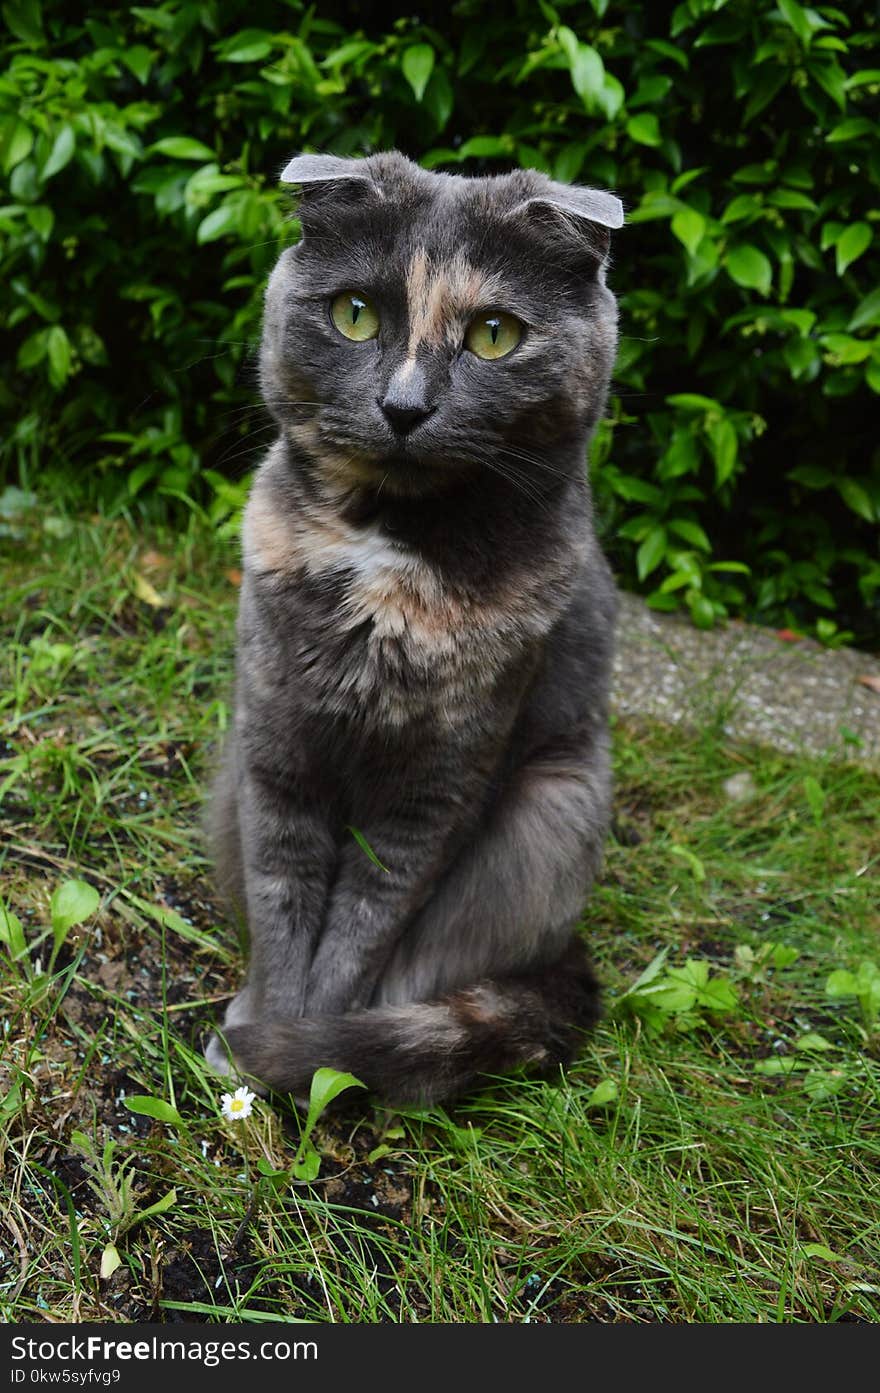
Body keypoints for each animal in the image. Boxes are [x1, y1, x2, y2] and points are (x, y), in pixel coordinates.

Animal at [206, 149, 621, 1108]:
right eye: (355, 314)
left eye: (496, 334)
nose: (404, 407)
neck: (391, 554)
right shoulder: (274, 751)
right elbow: (283, 900)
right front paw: (261, 1038)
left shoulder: (437, 789)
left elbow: (367, 923)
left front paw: (304, 1057)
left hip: (557, 802)